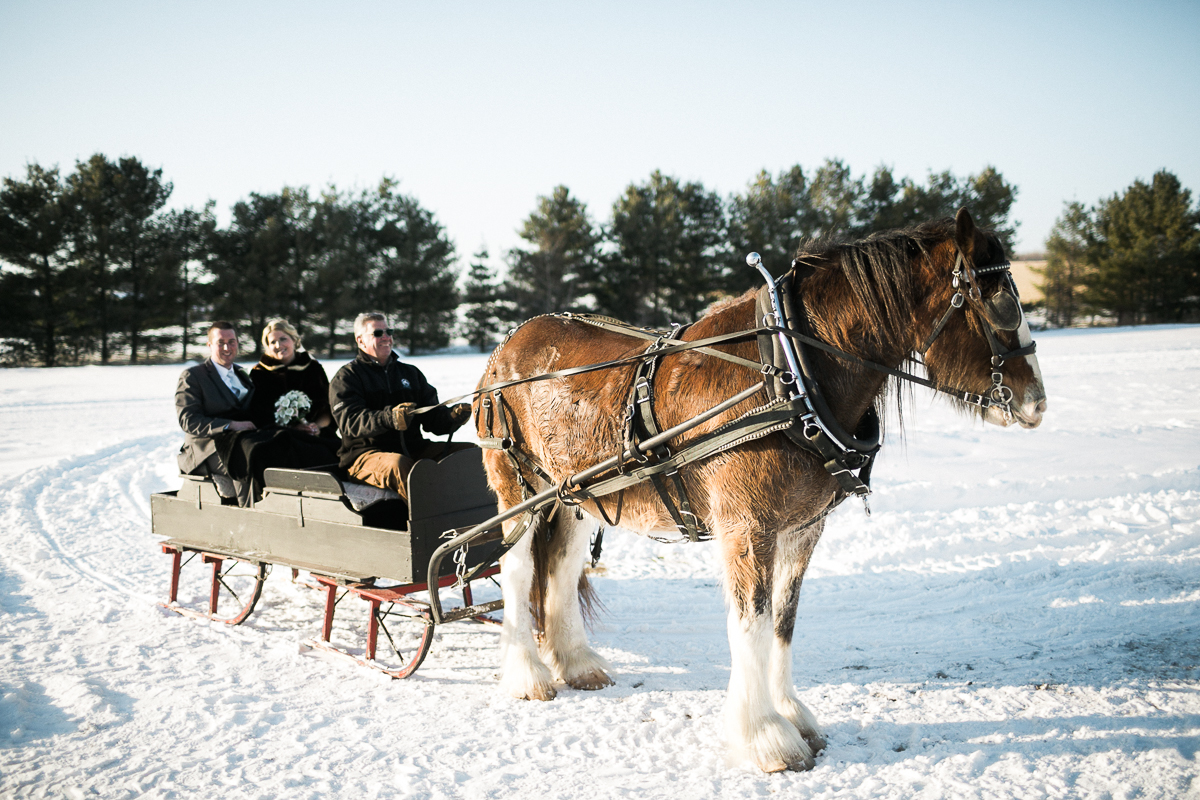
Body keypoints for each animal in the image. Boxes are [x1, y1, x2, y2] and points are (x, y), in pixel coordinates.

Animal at [472, 209, 1046, 772]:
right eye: (1000, 303)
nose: (1037, 401)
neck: (792, 375)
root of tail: (510, 344)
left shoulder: (802, 528)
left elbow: (782, 623)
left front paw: (792, 714)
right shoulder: (748, 527)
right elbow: (750, 623)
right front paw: (765, 736)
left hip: (573, 493)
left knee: (563, 567)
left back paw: (577, 663)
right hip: (516, 486)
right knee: (519, 569)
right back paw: (526, 673)